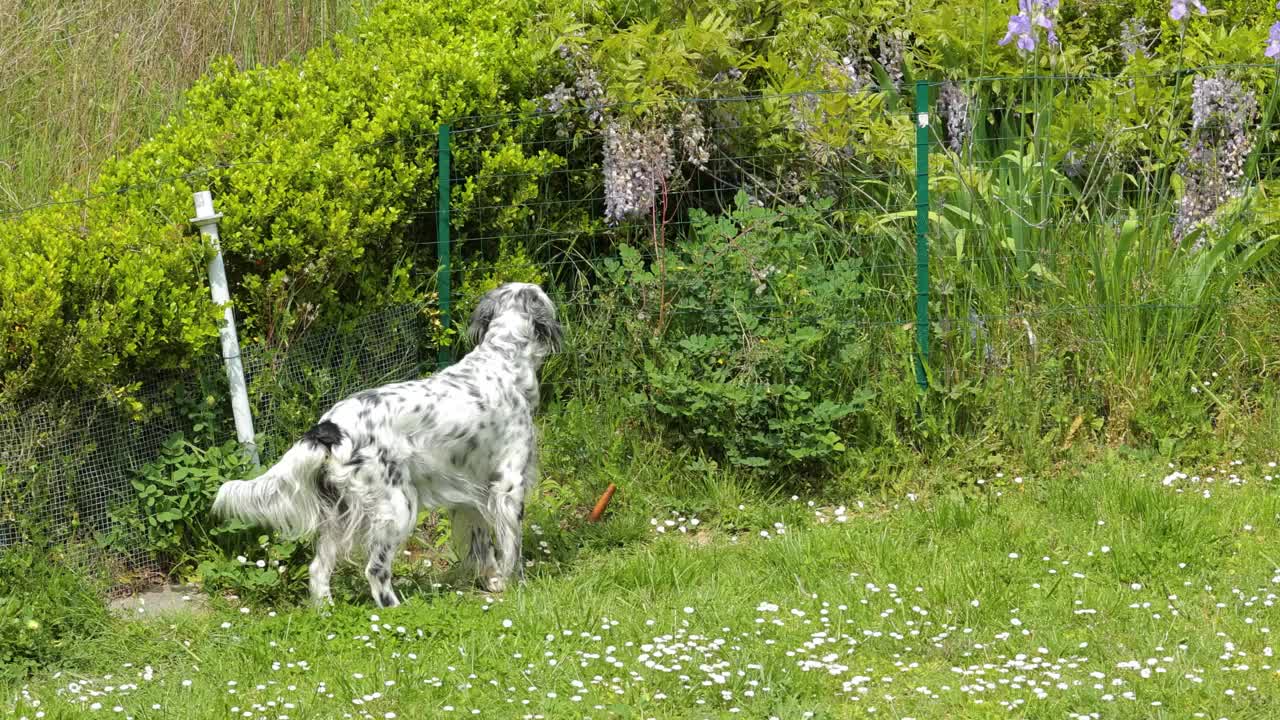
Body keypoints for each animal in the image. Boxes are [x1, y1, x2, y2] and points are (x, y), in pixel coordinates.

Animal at [212, 281, 563, 604]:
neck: (502, 360)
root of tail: (329, 427)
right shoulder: (509, 485)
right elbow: (511, 547)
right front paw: (516, 587)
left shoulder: (470, 493)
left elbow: (484, 547)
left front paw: (493, 582)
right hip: (397, 507)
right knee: (375, 570)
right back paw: (397, 609)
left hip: (339, 515)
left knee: (318, 570)